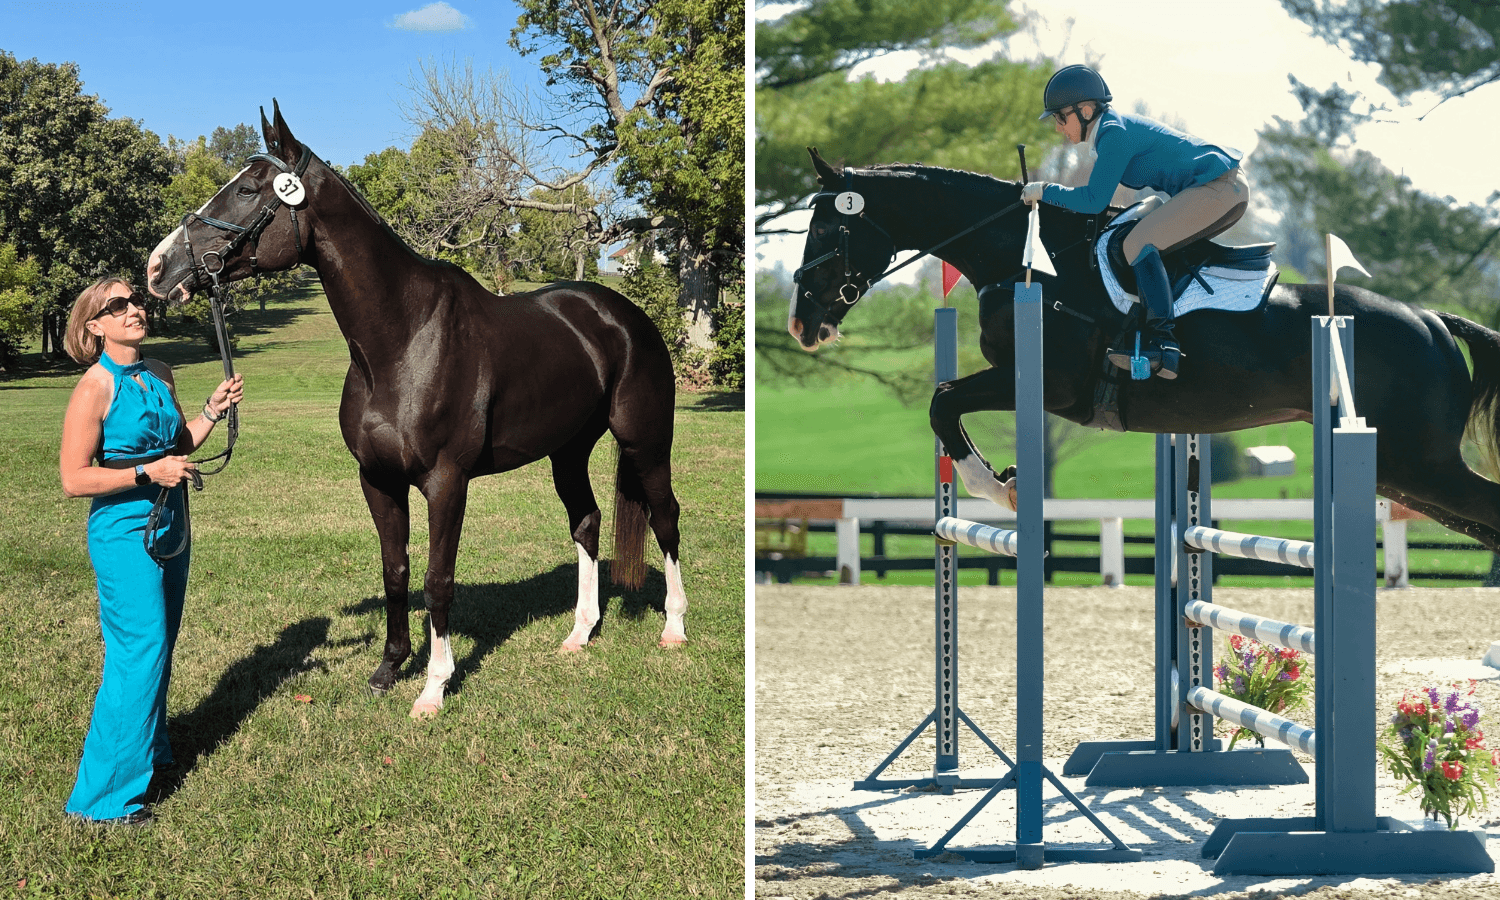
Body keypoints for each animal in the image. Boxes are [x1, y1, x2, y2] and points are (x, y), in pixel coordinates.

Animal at [146, 102, 687, 719]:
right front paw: (390, 667)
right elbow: (396, 569)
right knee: (587, 522)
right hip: (567, 451)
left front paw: (433, 685)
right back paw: (579, 633)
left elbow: (437, 579)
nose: (158, 266)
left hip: (645, 442)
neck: (403, 340)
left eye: (247, 189)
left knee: (666, 517)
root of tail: (624, 314)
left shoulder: (446, 482)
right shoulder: (378, 478)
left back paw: (673, 628)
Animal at [788, 147, 1500, 552]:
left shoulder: (1047, 383)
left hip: (1418, 463)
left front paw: (997, 487)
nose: (801, 323)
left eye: (826, 227)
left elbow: (942, 402)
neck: (1025, 261)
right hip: (1402, 470)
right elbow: (944, 402)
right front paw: (1005, 484)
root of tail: (1432, 321)